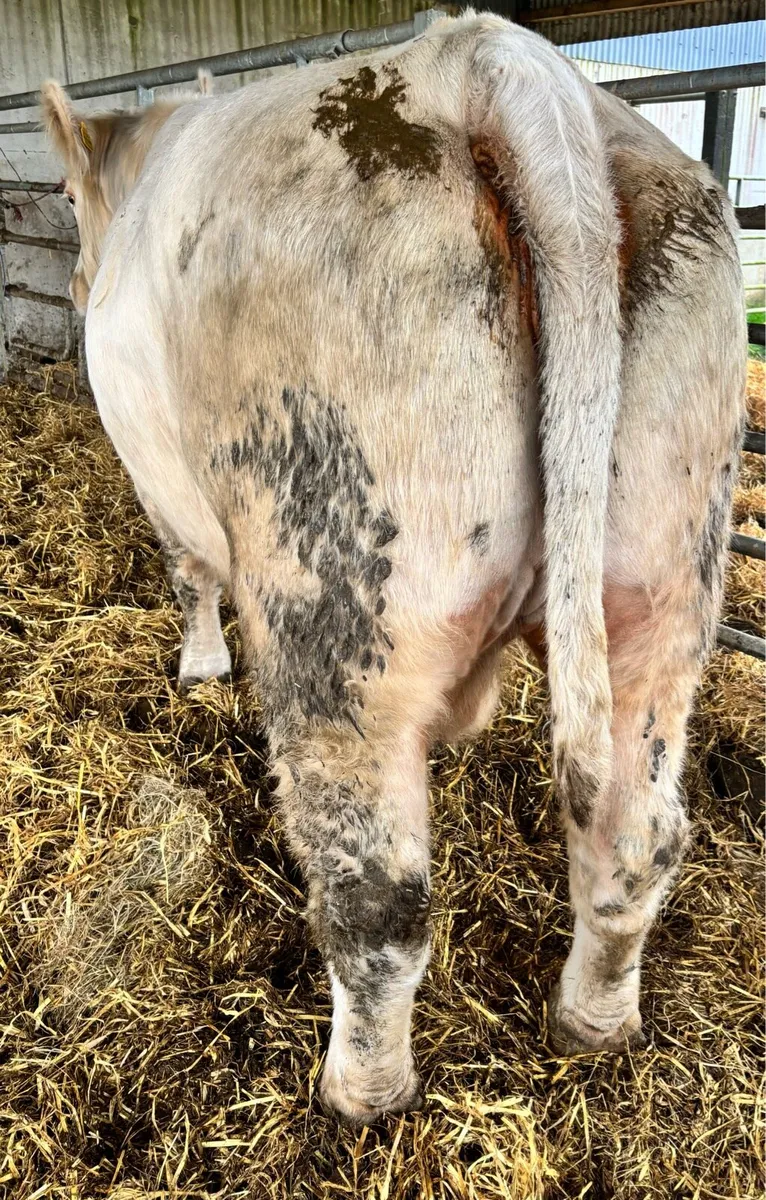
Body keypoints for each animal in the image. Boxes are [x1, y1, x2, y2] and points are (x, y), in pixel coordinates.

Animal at [42, 11, 746, 1126]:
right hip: (667, 568)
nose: (72, 282)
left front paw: (198, 669)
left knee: (376, 899)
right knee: (638, 832)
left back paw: (358, 1094)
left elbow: (189, 574)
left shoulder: (158, 481)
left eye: (66, 198)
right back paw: (593, 1024)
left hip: (335, 581)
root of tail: (493, 63)